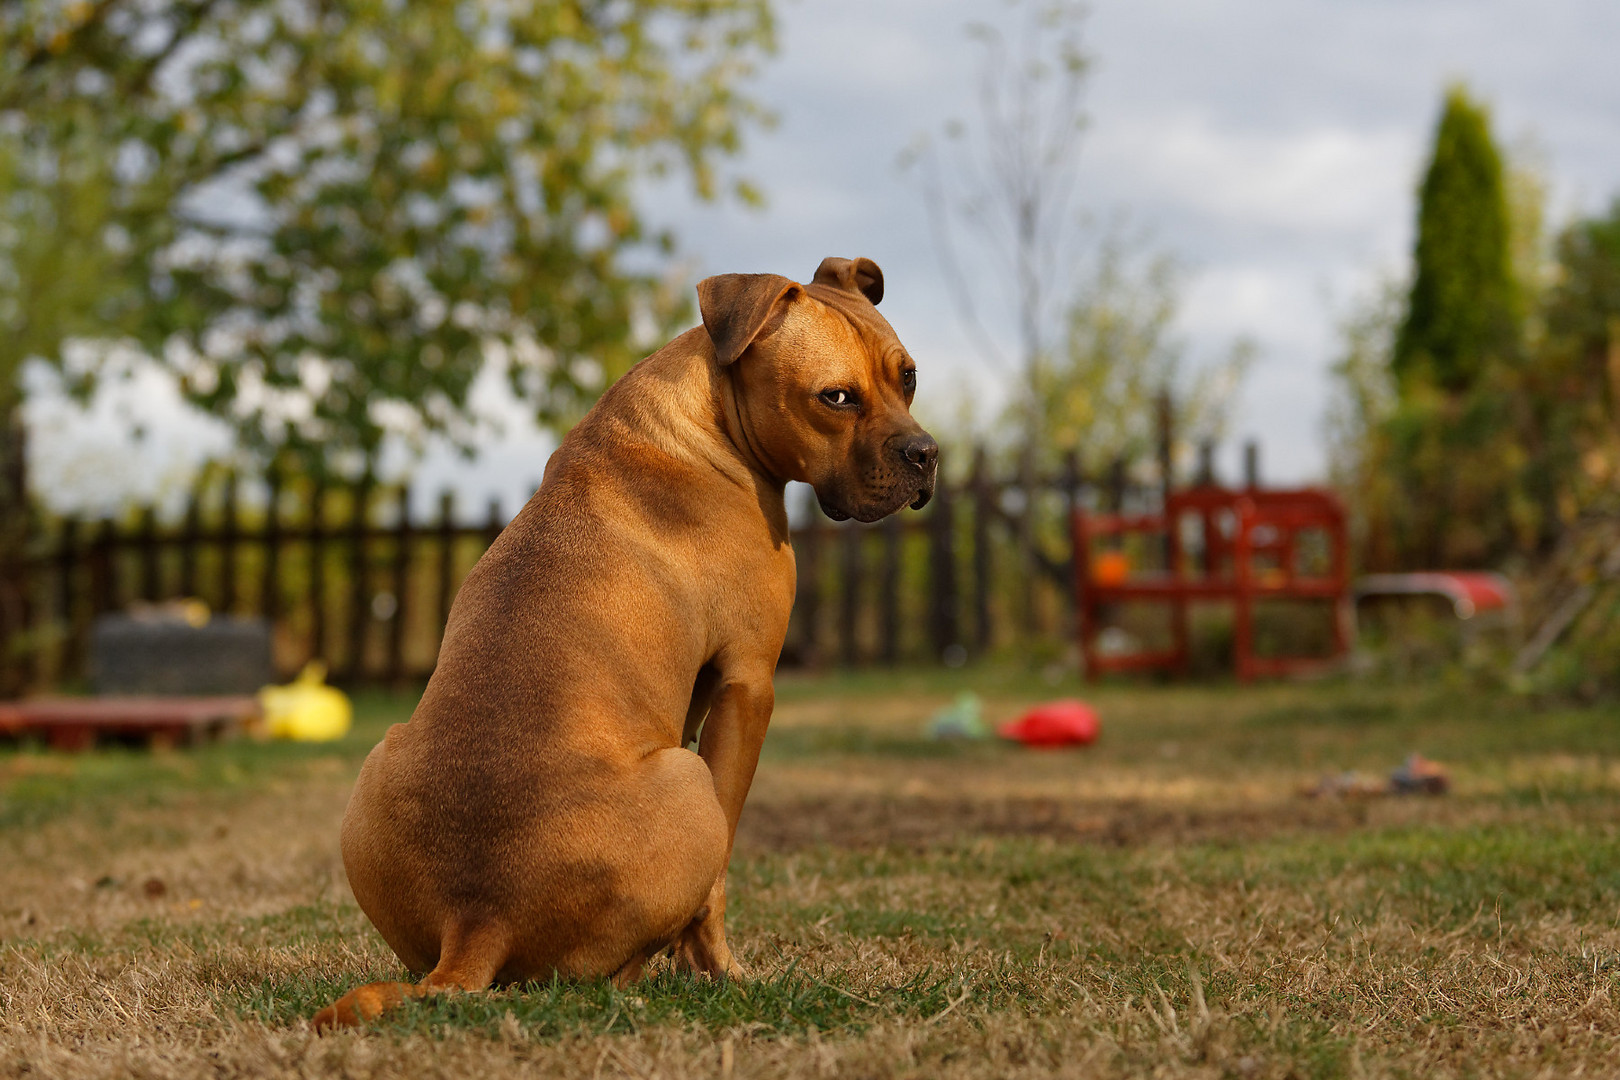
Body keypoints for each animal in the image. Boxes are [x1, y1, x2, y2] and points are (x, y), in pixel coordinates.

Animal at [312, 254, 939, 1029]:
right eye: (837, 397)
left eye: (907, 377)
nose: (926, 454)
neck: (709, 417)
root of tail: (476, 919)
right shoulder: (748, 685)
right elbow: (717, 883)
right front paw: (721, 973)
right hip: (689, 781)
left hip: (377, 766)